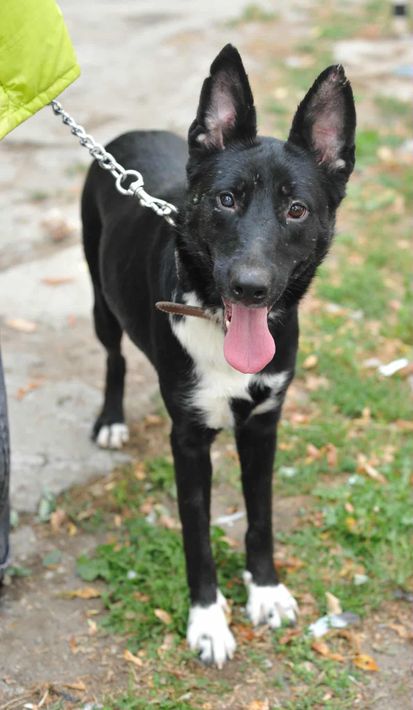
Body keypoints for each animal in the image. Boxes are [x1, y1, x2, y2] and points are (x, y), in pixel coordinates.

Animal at [81, 44, 356, 668]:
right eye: (226, 200)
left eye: (297, 210)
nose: (250, 288)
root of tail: (130, 135)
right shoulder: (188, 440)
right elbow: (198, 536)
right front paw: (207, 621)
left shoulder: (264, 425)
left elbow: (260, 518)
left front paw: (266, 590)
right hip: (100, 300)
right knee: (112, 358)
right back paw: (111, 420)